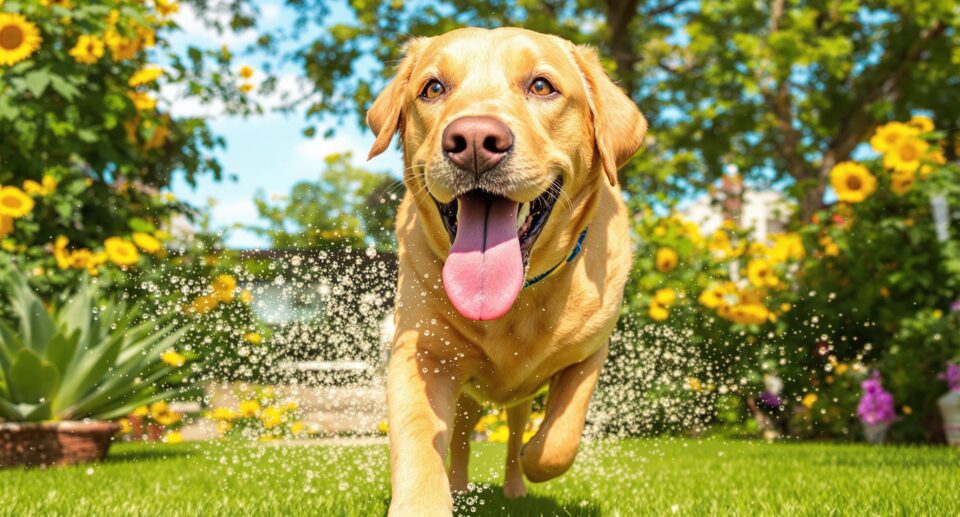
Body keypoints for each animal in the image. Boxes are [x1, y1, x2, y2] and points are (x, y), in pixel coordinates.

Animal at [366, 26, 644, 512]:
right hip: (467, 398)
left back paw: (515, 486)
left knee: (513, 438)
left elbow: (558, 440)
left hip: (517, 401)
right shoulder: (421, 354)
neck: (516, 300)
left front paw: (537, 456)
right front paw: (425, 502)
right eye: (433, 88)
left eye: (542, 86)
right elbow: (418, 437)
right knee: (460, 437)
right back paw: (459, 485)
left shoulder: (591, 352)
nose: (475, 140)